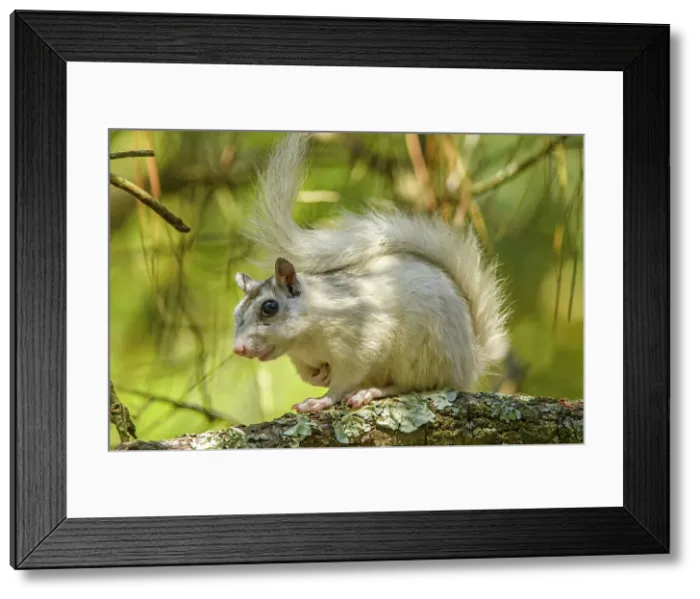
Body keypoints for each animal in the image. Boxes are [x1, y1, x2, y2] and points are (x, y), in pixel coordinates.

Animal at [232, 132, 511, 414]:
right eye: (236, 313)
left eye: (269, 307)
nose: (238, 348)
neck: (304, 339)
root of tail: (469, 364)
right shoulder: (303, 360)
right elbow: (311, 375)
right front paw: (320, 375)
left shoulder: (359, 341)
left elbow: (344, 380)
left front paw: (322, 400)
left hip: (420, 354)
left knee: (411, 385)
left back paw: (371, 391)